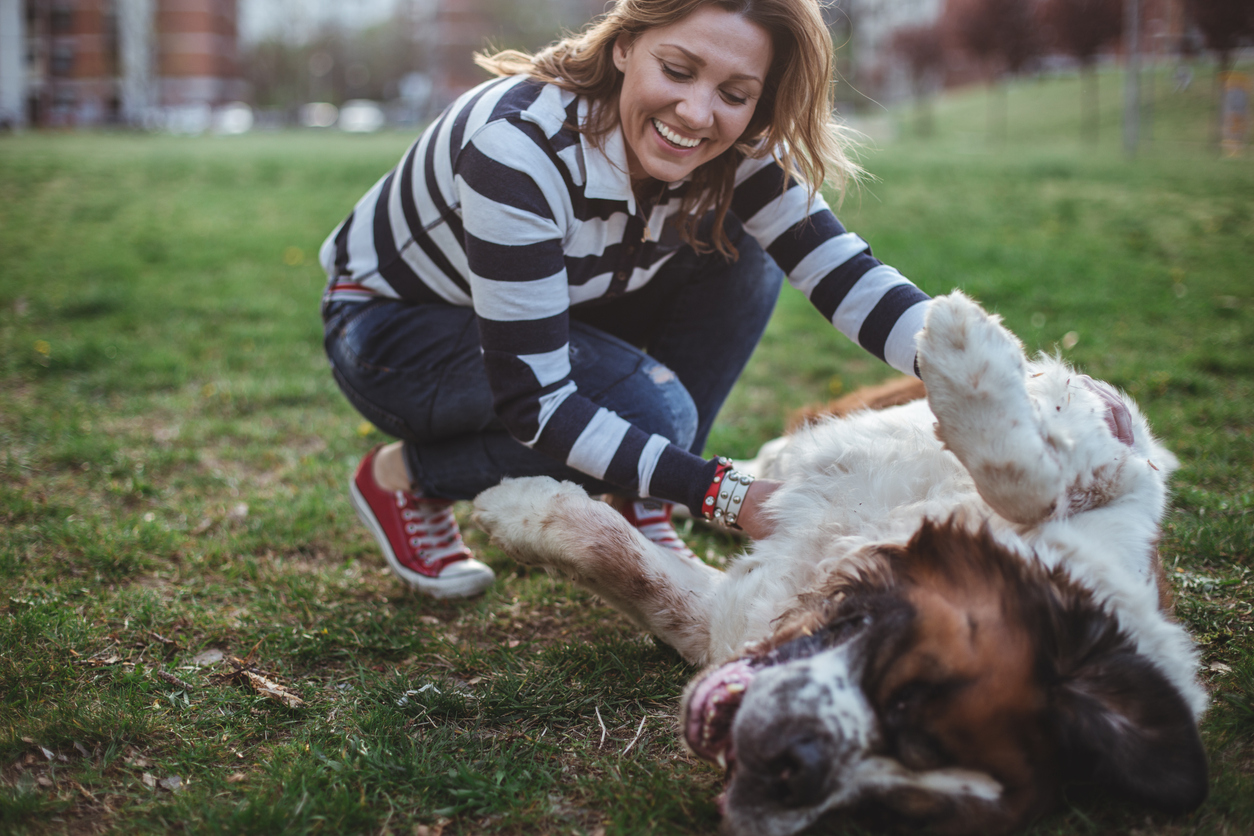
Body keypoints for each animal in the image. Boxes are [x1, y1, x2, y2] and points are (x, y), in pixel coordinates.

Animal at [471, 293, 1203, 836]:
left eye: (882, 813)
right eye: (909, 691)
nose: (798, 769)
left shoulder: (728, 616)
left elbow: (632, 568)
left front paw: (518, 510)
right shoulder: (1111, 457)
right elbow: (1030, 476)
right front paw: (964, 340)